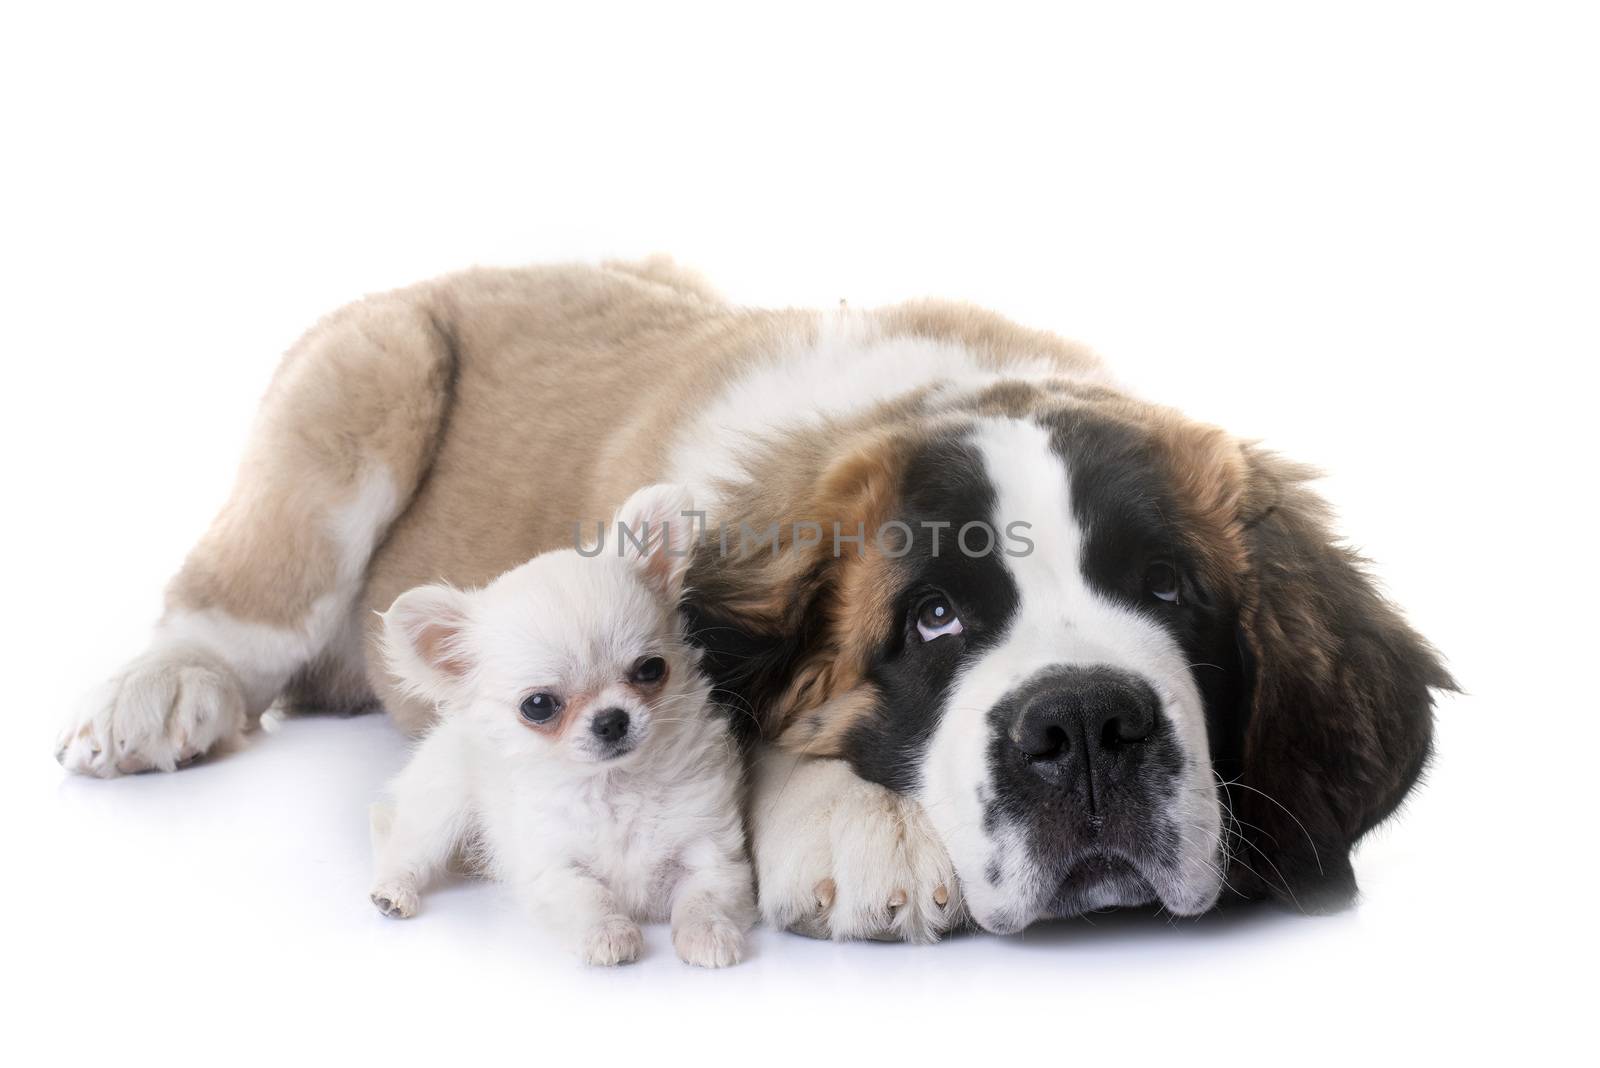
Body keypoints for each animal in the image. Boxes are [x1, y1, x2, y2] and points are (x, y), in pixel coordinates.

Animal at [368, 482, 755, 965]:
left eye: (651, 669)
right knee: (407, 845)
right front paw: (610, 934)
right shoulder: (553, 868)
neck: (614, 785)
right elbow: (590, 897)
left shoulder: (711, 850)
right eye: (538, 706)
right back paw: (393, 891)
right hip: (443, 802)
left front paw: (709, 934)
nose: (611, 720)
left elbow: (704, 895)